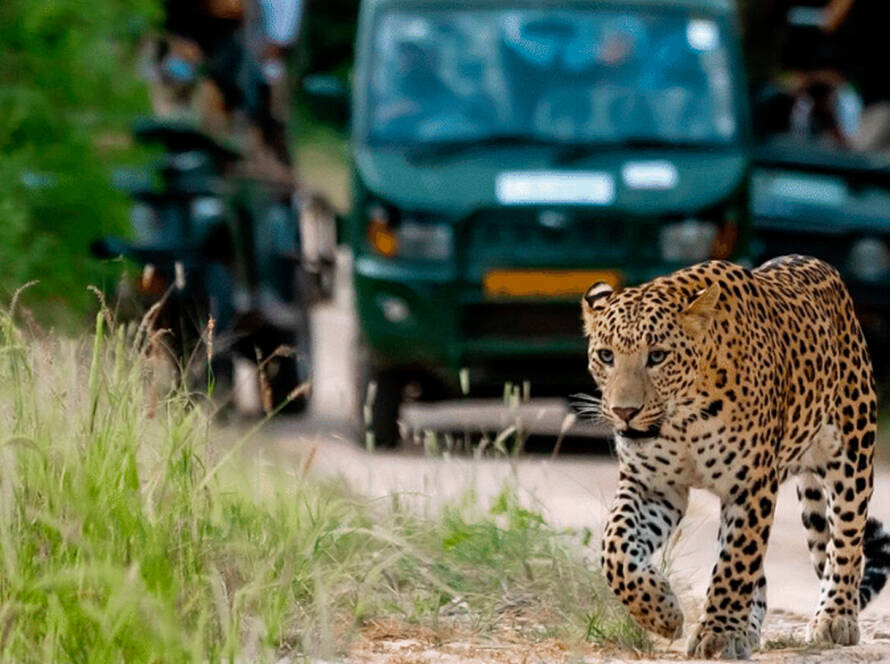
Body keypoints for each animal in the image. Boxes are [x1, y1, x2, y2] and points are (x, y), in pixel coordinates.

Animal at [578, 255, 890, 659]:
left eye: (657, 356)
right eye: (606, 356)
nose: (624, 411)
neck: (684, 418)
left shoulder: (751, 485)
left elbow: (736, 561)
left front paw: (719, 633)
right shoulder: (652, 486)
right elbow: (615, 549)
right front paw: (661, 612)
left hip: (851, 453)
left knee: (845, 542)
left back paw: (835, 618)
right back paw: (749, 628)